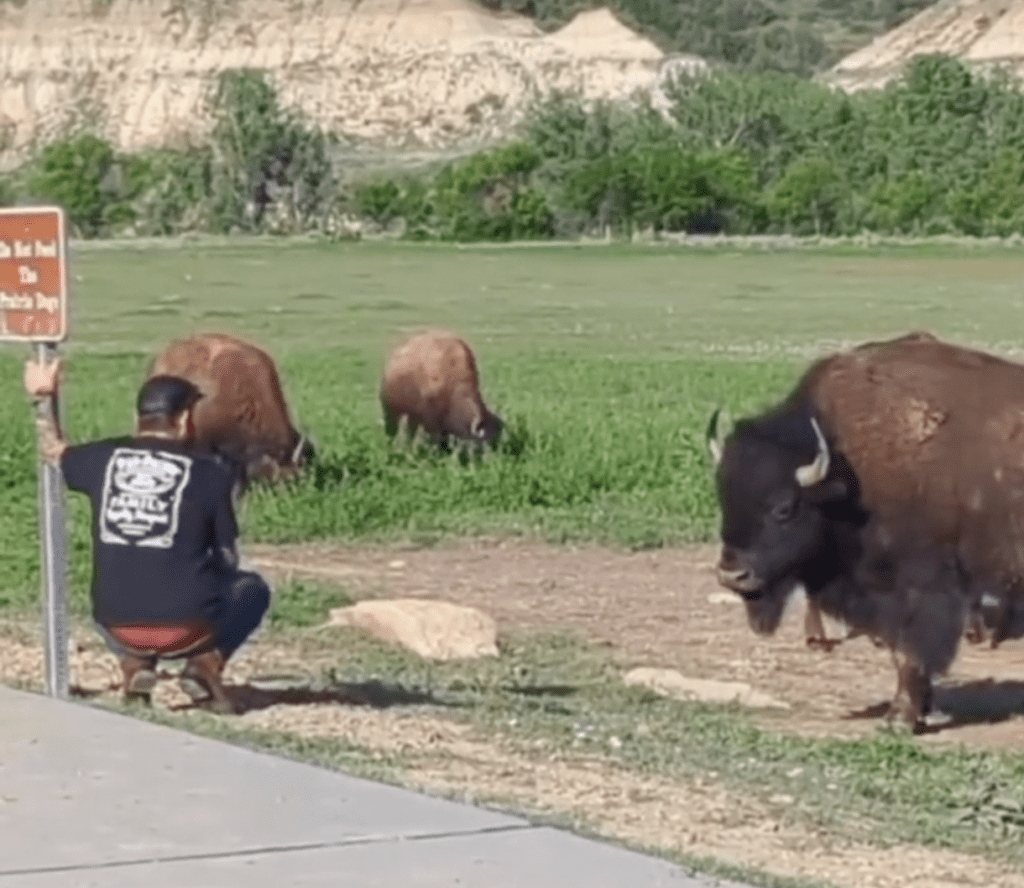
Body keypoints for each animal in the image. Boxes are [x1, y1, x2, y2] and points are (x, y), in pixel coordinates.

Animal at [709, 331, 1024, 731]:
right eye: (723, 496)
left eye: (783, 507)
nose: (731, 575)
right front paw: (924, 710)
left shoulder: (916, 589)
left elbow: (910, 651)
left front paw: (899, 718)